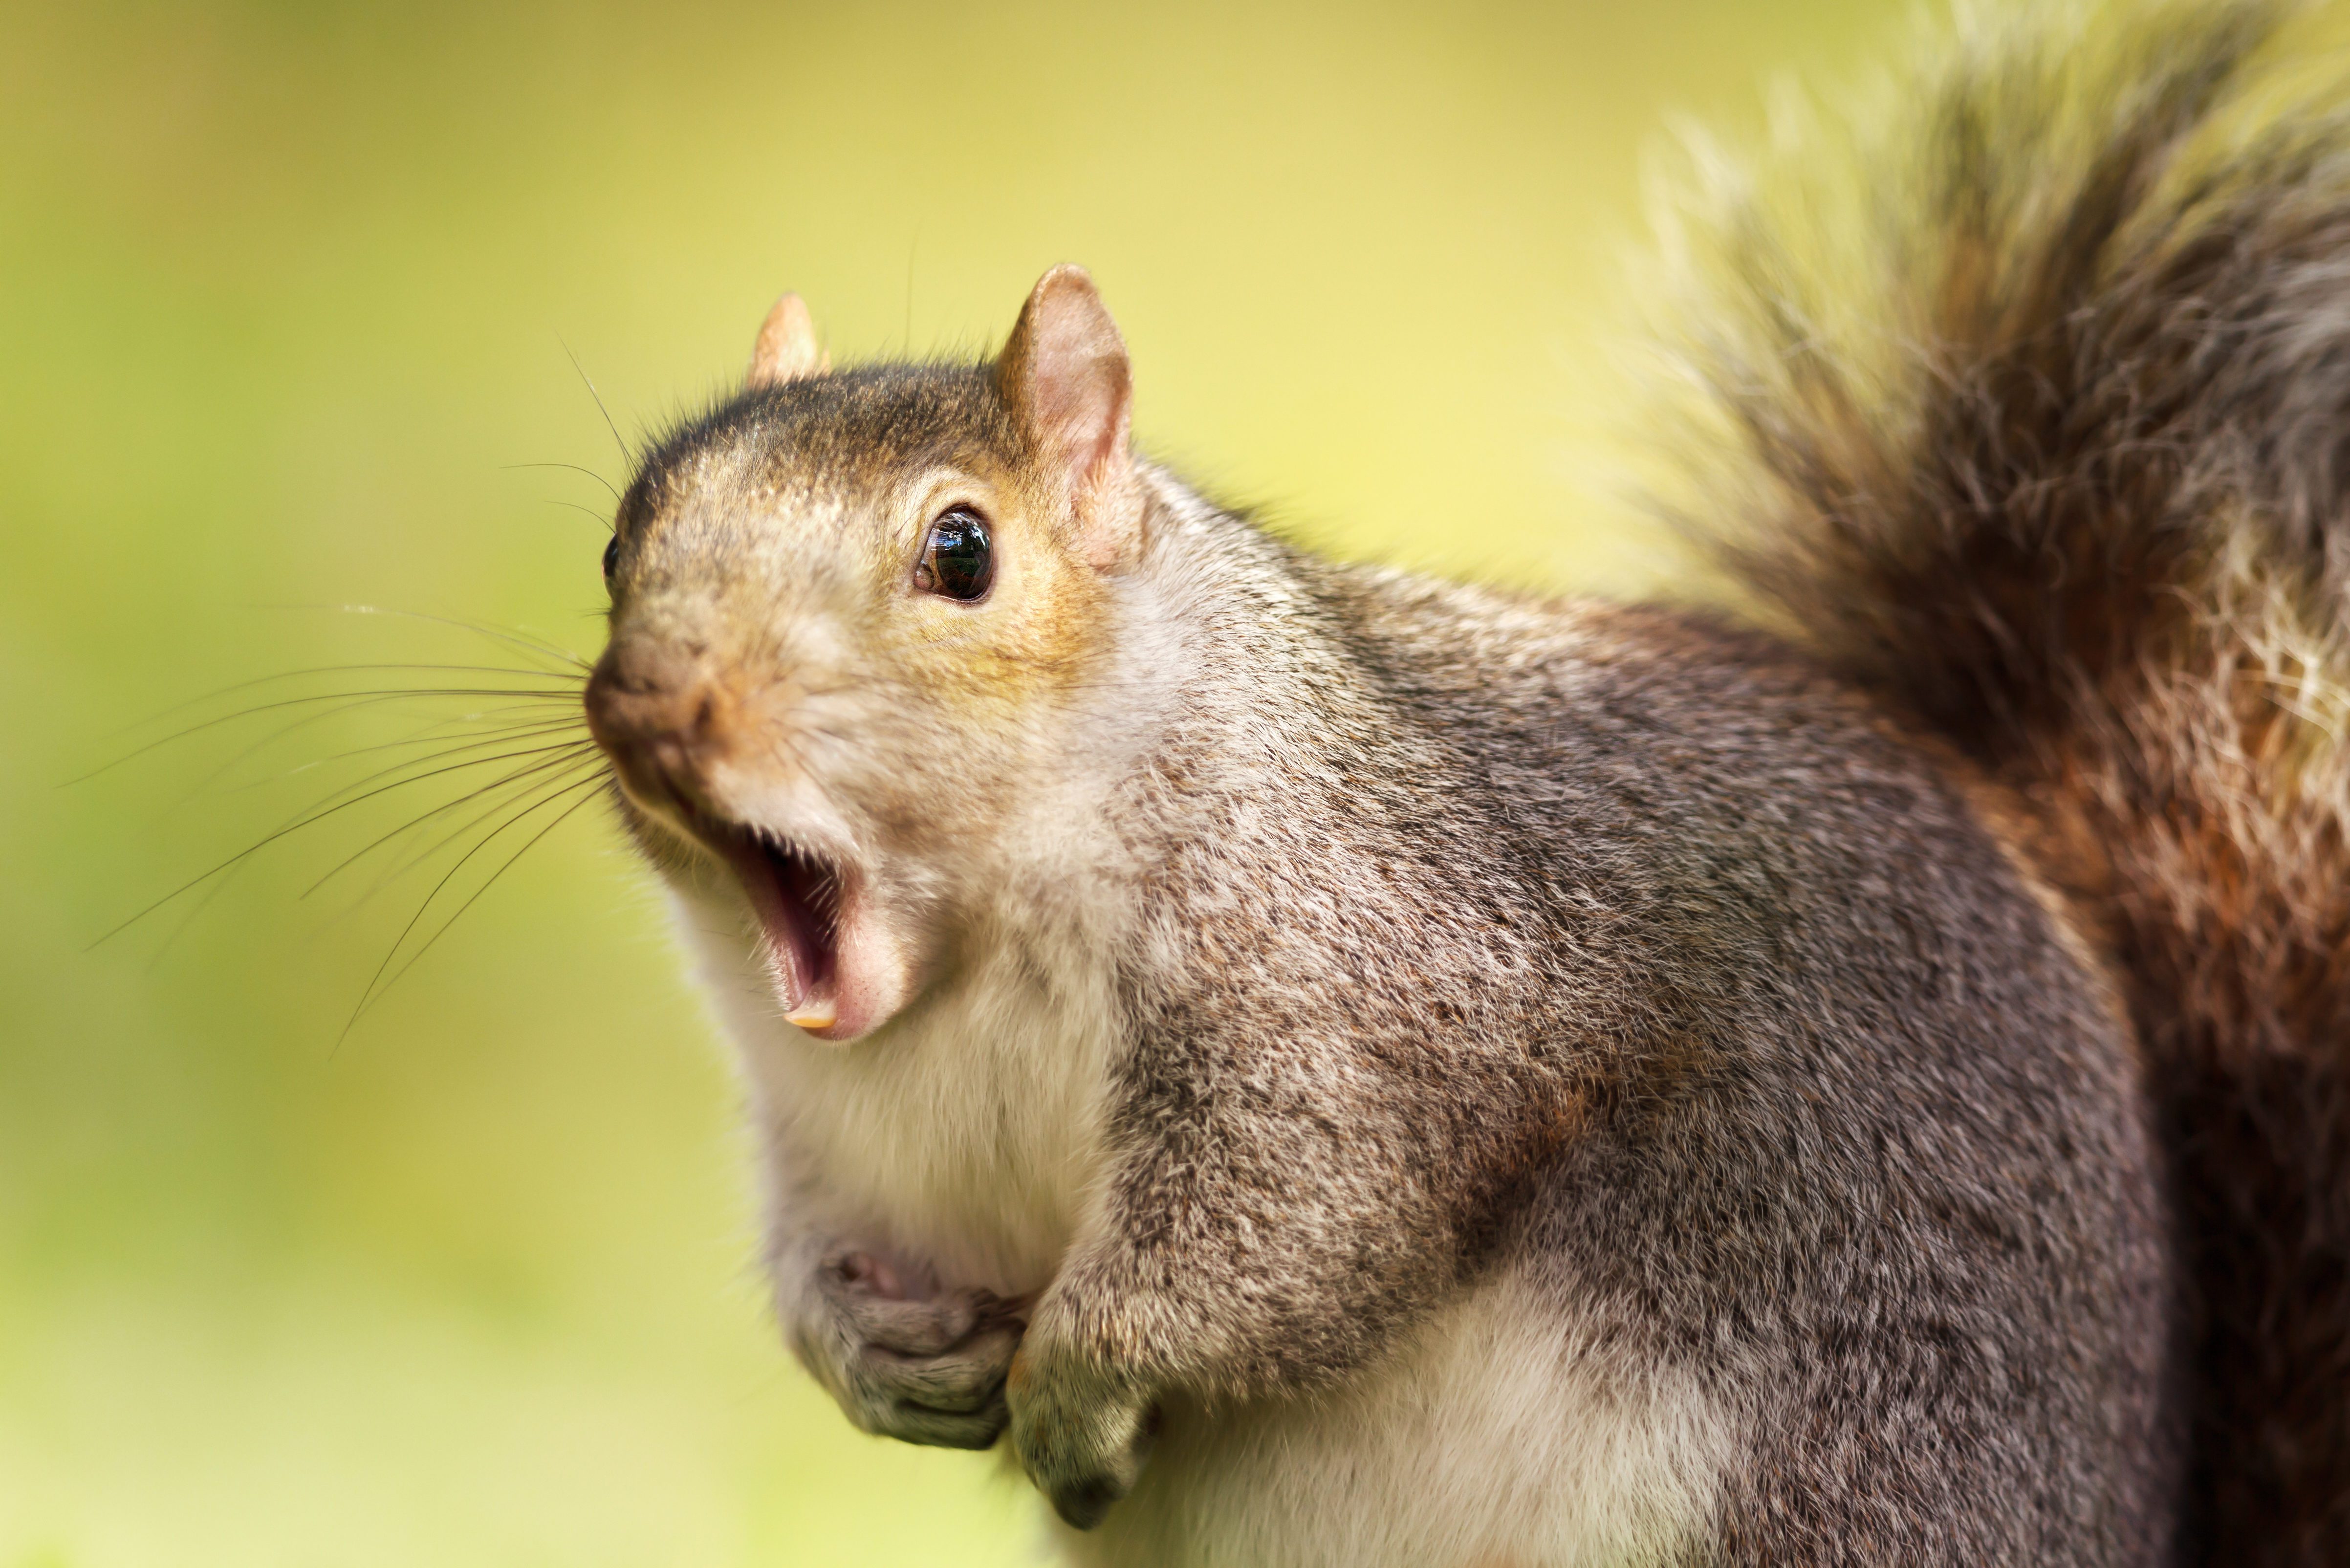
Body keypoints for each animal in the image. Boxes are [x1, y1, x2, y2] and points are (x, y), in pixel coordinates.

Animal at [575, 1, 2349, 1562]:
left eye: (962, 552)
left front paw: (1074, 1383)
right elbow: (812, 1249)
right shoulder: (823, 1131)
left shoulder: (1378, 974)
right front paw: (865, 1352)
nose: (651, 703)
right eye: (621, 539)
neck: (963, 968)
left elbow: (1292, 1221)